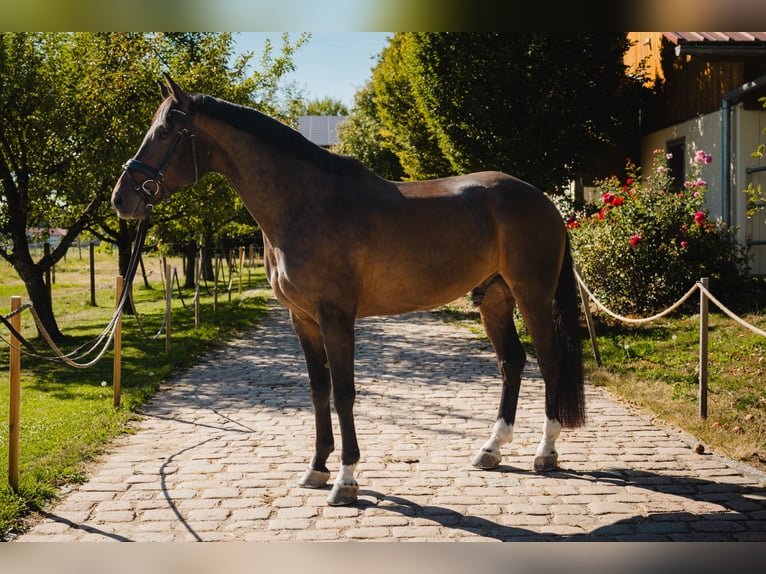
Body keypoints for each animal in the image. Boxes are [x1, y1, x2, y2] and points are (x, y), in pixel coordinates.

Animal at [111, 74, 586, 506]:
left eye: (166, 131)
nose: (121, 198)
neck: (305, 204)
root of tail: (543, 199)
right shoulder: (302, 319)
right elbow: (319, 390)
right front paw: (317, 468)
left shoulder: (335, 316)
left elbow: (343, 393)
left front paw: (346, 478)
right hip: (494, 299)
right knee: (512, 362)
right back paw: (491, 449)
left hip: (532, 296)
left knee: (549, 361)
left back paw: (546, 452)